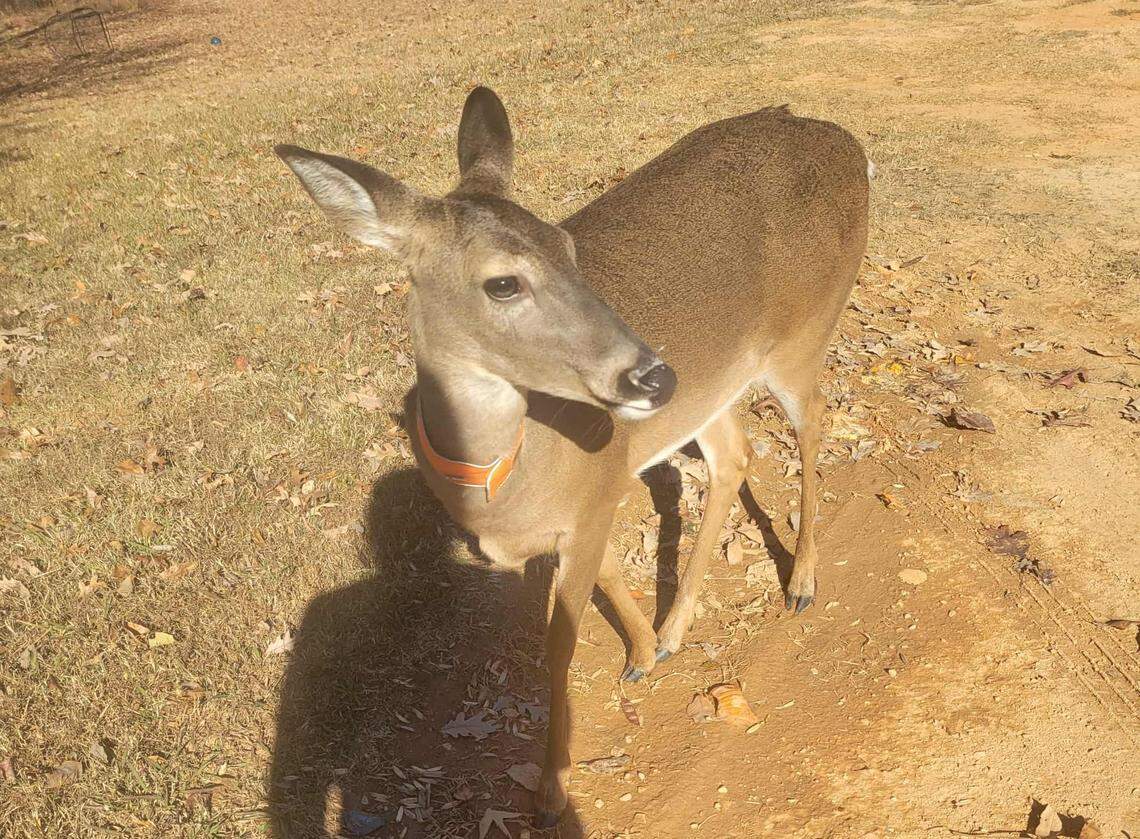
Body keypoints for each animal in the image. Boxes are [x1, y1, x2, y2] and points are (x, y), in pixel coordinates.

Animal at [275, 86, 869, 826]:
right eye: (502, 283)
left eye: (566, 244)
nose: (654, 376)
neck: (503, 483)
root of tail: (846, 141)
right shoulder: (594, 496)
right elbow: (609, 573)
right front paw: (643, 650)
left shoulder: (592, 496)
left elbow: (558, 647)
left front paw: (553, 789)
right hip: (716, 385)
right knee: (734, 455)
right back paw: (676, 627)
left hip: (804, 332)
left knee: (813, 420)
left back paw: (801, 582)